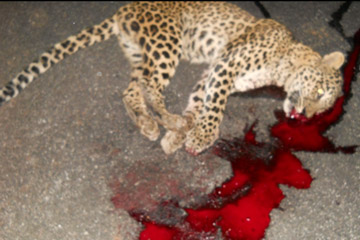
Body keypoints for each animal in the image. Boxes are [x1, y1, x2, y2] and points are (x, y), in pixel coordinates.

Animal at [0, 1, 344, 156]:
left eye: (323, 110)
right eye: (319, 91)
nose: (306, 115)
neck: (286, 61)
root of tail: (125, 8)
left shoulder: (212, 72)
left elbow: (199, 102)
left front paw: (179, 137)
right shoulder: (227, 65)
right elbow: (214, 108)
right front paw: (199, 135)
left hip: (141, 55)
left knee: (131, 90)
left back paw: (150, 124)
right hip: (168, 42)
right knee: (151, 88)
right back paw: (169, 120)